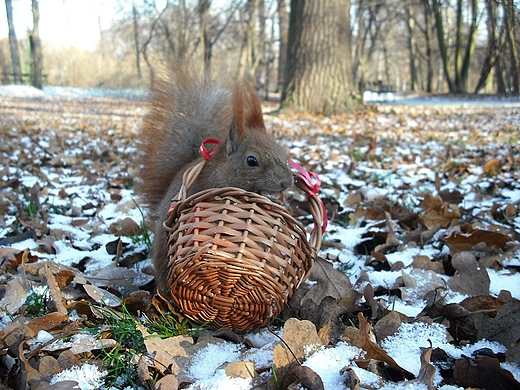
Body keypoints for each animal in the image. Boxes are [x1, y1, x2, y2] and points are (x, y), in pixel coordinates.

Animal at [137, 60, 292, 292]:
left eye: (284, 153)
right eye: (251, 161)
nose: (287, 182)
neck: (225, 171)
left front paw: (279, 202)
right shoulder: (212, 187)